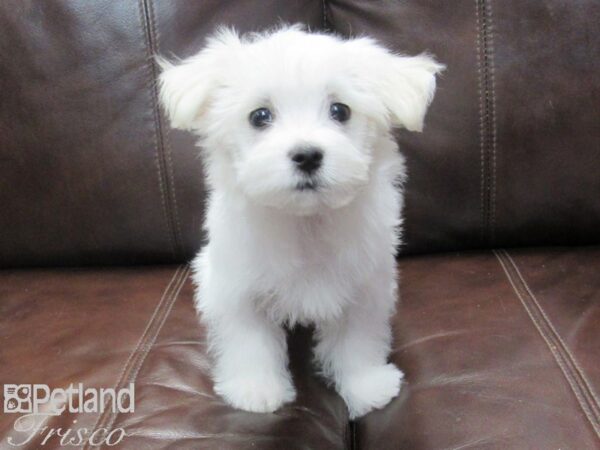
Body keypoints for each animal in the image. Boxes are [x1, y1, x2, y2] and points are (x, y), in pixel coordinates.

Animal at [157, 24, 442, 418]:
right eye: (259, 116)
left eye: (340, 110)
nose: (307, 155)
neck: (305, 221)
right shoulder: (238, 288)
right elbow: (249, 340)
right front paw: (256, 390)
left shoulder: (365, 287)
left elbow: (358, 340)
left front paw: (366, 386)